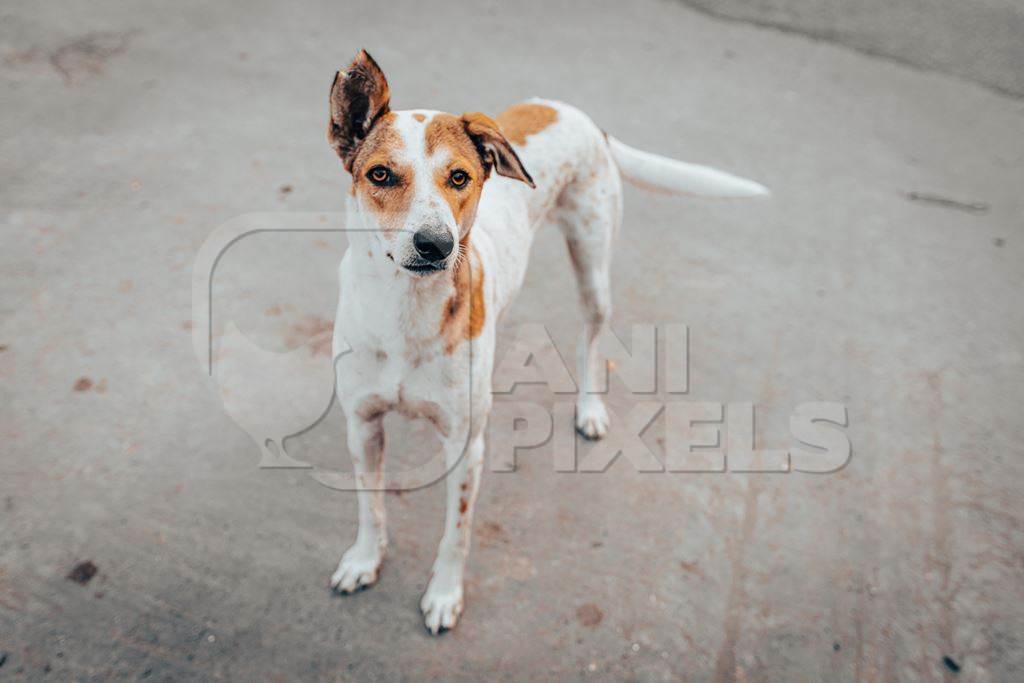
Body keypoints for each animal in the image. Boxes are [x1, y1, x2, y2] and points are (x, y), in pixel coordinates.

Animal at [323, 49, 765, 634]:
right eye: (380, 174)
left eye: (459, 177)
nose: (436, 245)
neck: (404, 312)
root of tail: (577, 114)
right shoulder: (363, 425)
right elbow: (369, 506)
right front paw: (365, 560)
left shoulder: (466, 448)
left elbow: (456, 533)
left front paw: (444, 594)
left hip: (594, 268)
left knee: (591, 340)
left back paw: (590, 410)